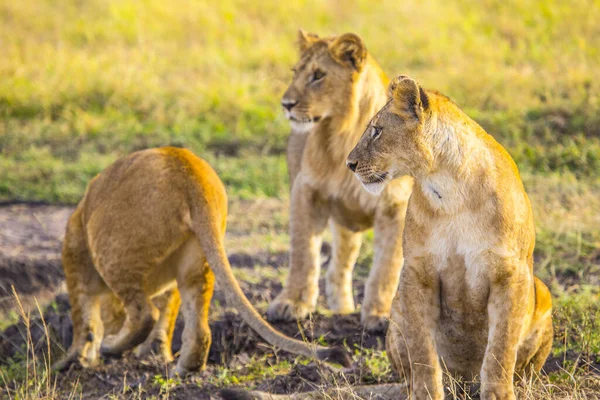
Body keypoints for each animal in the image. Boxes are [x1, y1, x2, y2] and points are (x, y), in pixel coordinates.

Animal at [52, 147, 352, 376]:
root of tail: (191, 175)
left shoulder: (74, 250)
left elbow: (85, 317)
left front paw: (73, 360)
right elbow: (168, 312)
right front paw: (152, 352)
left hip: (114, 252)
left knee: (144, 312)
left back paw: (113, 347)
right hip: (198, 258)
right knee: (198, 327)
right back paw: (185, 368)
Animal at [268, 30, 412, 332]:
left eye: (318, 75)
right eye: (295, 72)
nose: (286, 105)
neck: (342, 132)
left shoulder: (395, 206)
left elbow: (387, 266)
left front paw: (380, 315)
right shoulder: (306, 192)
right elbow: (303, 253)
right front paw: (292, 303)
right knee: (339, 264)